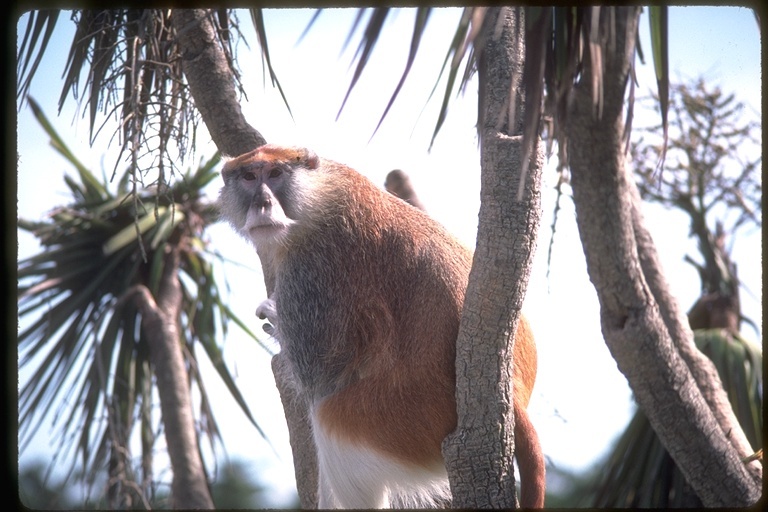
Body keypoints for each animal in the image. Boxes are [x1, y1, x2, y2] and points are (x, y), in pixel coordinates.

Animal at [216, 144, 544, 508]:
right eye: (249, 176)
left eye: (275, 174)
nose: (262, 203)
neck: (318, 196)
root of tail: (514, 394)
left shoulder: (309, 270)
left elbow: (319, 376)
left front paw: (274, 320)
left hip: (398, 423)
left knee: (328, 415)